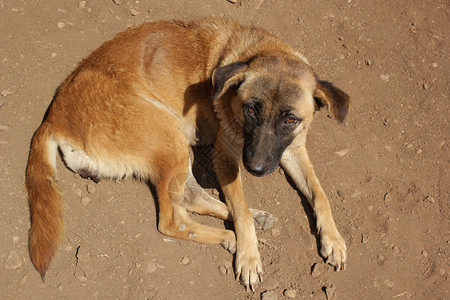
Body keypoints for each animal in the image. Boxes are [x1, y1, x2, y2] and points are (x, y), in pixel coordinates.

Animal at [26, 17, 350, 292]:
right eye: (250, 110)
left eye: (290, 120)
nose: (255, 168)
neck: (257, 50)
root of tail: (54, 117)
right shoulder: (225, 157)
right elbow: (240, 208)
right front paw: (249, 255)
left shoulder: (292, 150)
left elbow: (320, 194)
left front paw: (333, 239)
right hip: (171, 137)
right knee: (173, 221)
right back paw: (231, 237)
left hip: (179, 148)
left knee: (190, 199)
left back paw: (255, 219)